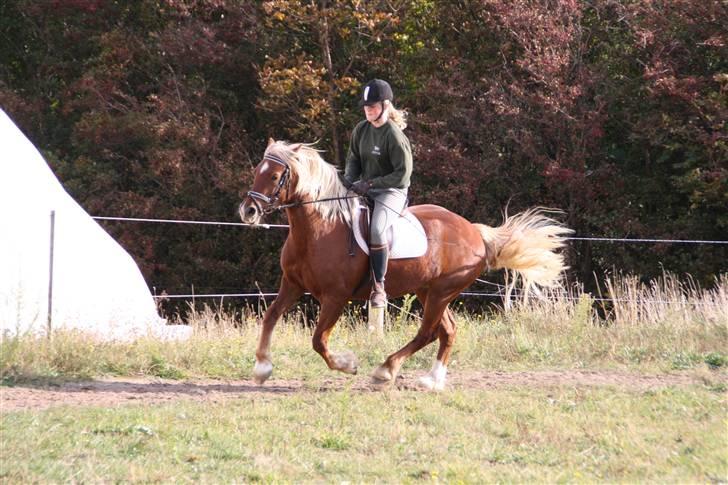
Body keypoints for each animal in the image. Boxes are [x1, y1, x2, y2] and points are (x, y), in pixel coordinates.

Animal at [237, 139, 568, 390]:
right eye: (257, 171)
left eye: (275, 176)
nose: (248, 210)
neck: (318, 229)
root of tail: (475, 232)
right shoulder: (292, 284)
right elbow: (270, 317)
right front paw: (262, 367)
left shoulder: (335, 297)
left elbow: (318, 340)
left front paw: (348, 365)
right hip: (428, 291)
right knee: (448, 331)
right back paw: (432, 380)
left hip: (441, 292)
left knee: (428, 333)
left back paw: (386, 370)